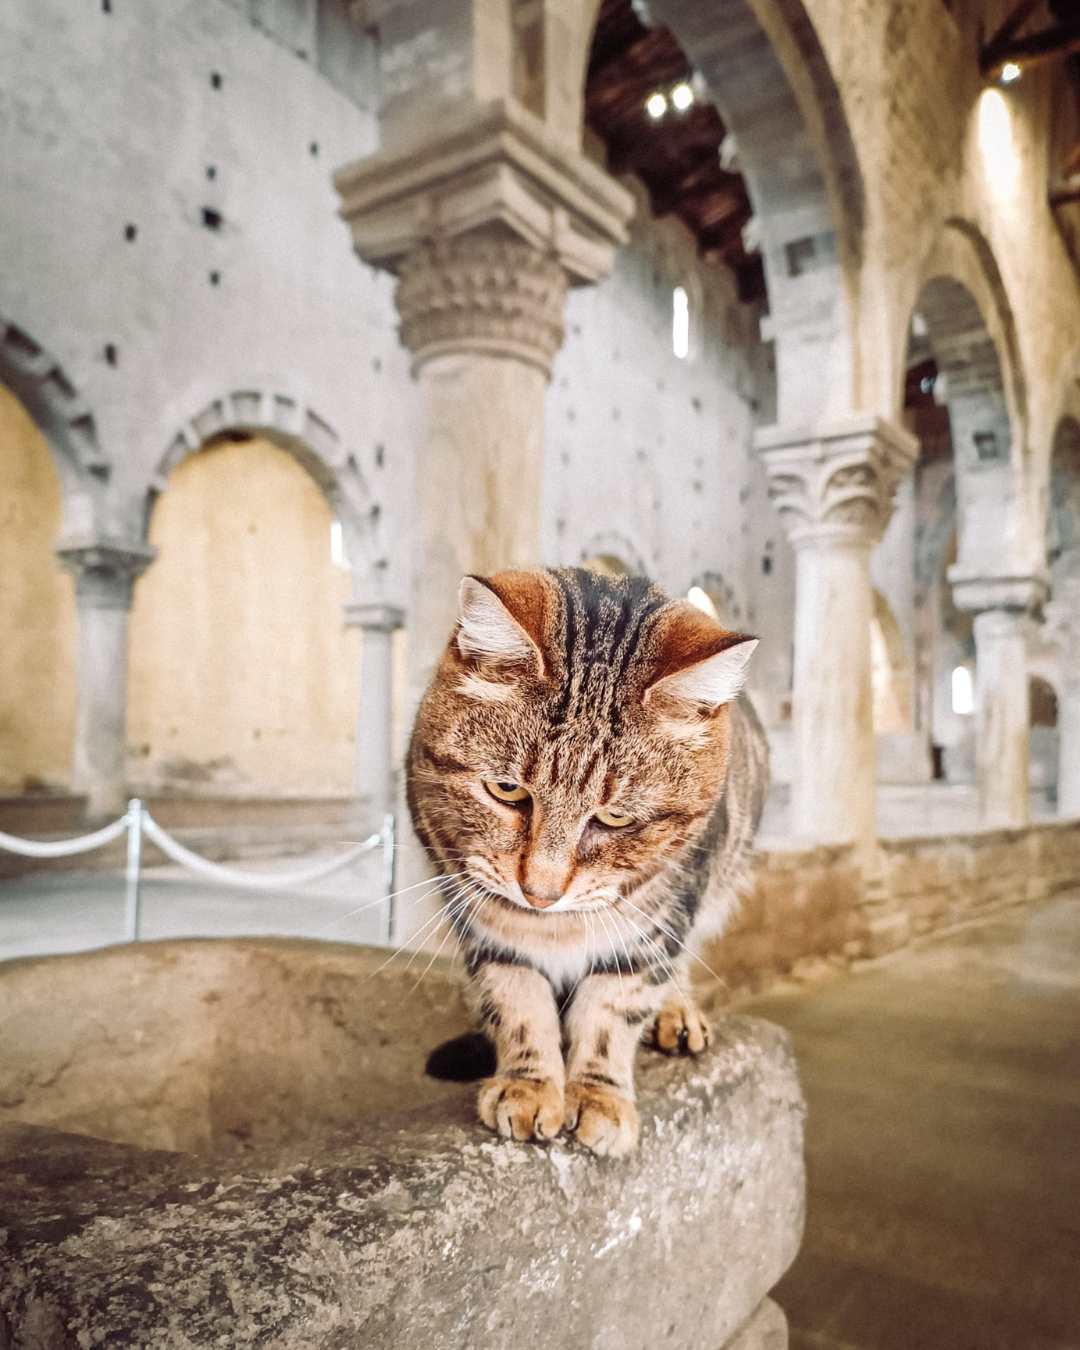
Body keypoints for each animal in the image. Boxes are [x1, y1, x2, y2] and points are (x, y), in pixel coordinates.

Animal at [405, 564, 766, 1155]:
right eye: (507, 791)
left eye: (615, 818)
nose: (540, 893)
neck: (557, 928)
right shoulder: (478, 914)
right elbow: (517, 1001)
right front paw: (528, 1083)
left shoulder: (656, 924)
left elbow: (612, 1011)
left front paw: (599, 1094)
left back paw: (677, 1010)